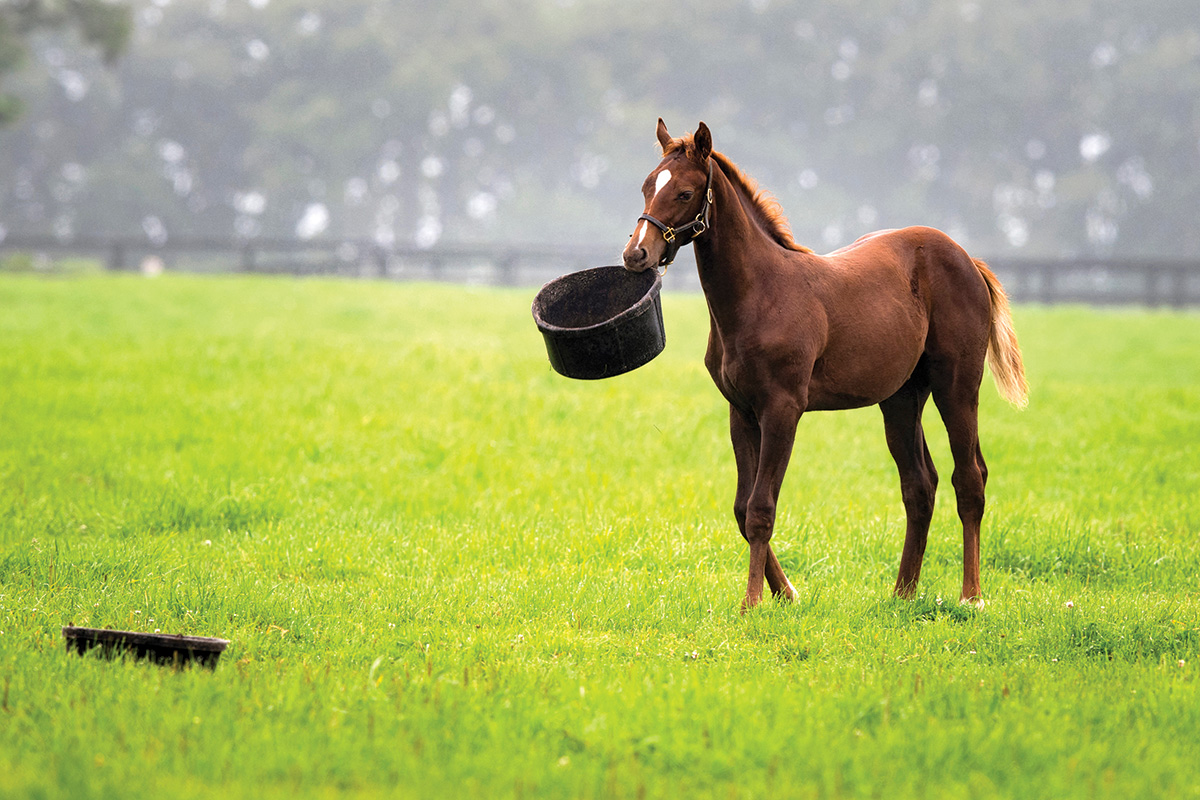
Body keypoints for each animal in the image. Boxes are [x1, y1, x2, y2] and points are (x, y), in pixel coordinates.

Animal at [624, 118, 1027, 609]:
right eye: (647, 186)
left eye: (684, 192)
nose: (636, 254)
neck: (759, 293)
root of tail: (966, 258)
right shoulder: (742, 412)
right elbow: (741, 508)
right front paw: (786, 593)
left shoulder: (783, 409)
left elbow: (761, 508)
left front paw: (753, 602)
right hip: (901, 398)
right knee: (920, 484)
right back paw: (903, 594)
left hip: (957, 387)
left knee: (968, 480)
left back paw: (972, 595)